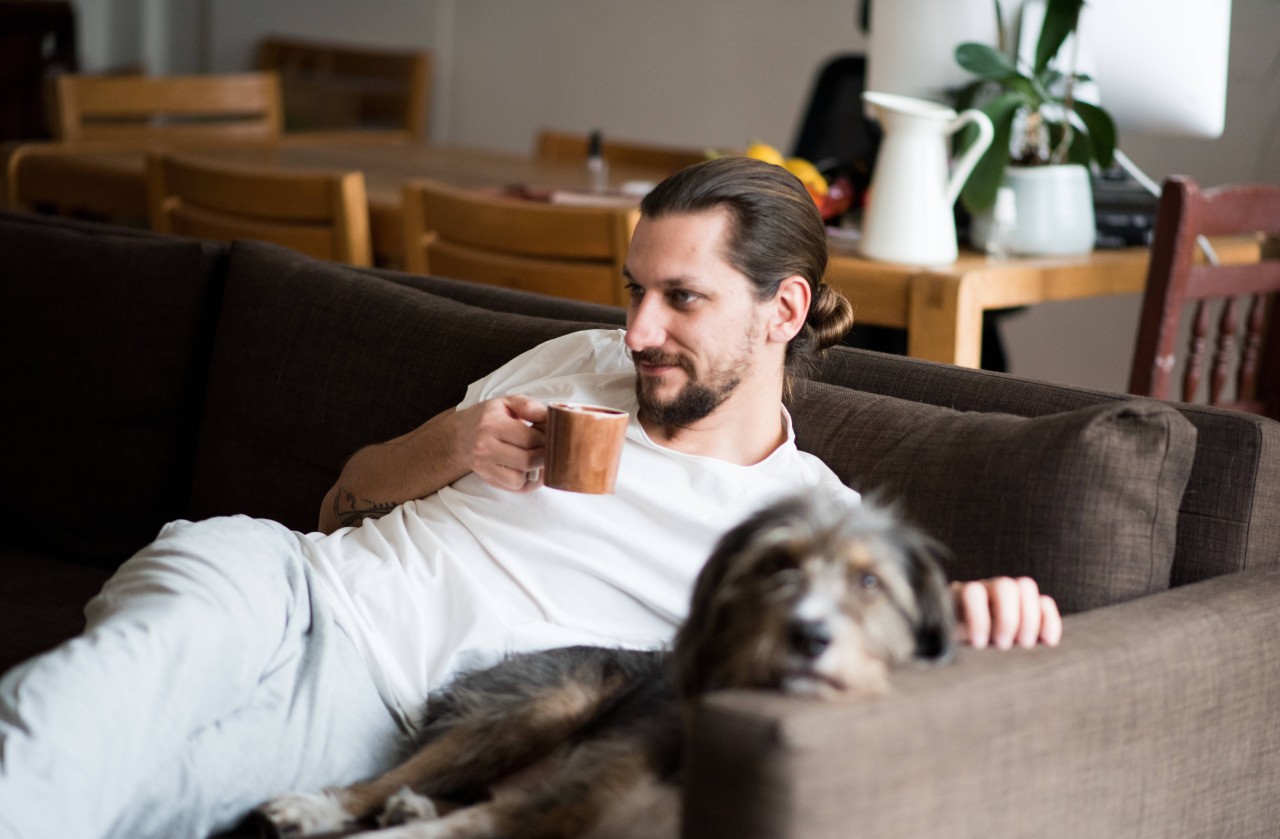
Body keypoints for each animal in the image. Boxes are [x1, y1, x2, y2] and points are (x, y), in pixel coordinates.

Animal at [257, 491, 952, 839]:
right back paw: (313, 809)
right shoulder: (575, 796)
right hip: (541, 706)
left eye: (869, 583)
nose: (809, 636)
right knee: (379, 783)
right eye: (777, 565)